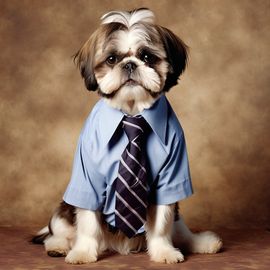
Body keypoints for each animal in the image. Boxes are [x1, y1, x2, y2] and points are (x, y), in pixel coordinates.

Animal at [32, 7, 221, 264]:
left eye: (147, 57)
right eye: (112, 59)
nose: (130, 65)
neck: (131, 113)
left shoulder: (169, 177)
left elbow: (162, 223)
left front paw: (163, 251)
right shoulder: (88, 179)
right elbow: (88, 223)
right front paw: (82, 252)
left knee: (180, 230)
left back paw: (200, 242)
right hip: (64, 212)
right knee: (59, 232)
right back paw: (59, 246)